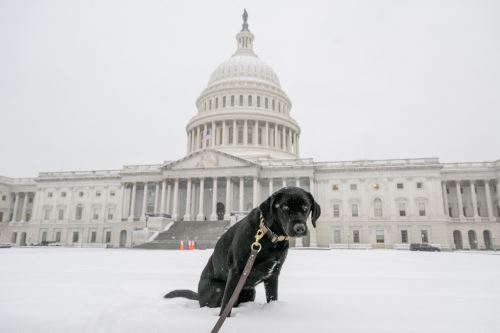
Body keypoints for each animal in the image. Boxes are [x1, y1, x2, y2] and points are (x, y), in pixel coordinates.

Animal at [164, 185, 320, 312]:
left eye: (306, 208)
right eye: (285, 208)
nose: (300, 228)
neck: (269, 235)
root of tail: (199, 296)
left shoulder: (273, 275)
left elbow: (272, 297)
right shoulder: (237, 271)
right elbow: (226, 305)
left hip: (249, 291)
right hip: (218, 288)